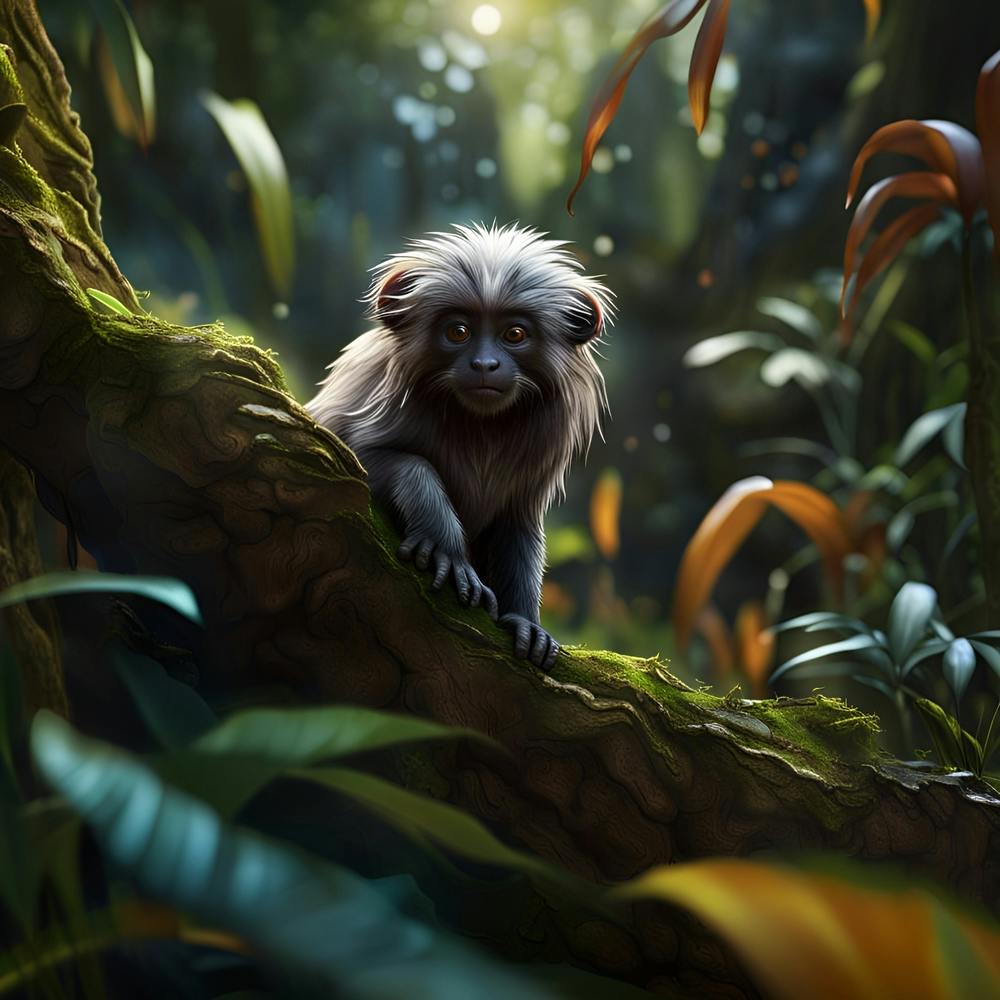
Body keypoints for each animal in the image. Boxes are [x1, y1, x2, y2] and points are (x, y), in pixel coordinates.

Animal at [306, 223, 612, 671]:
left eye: (515, 334)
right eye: (458, 331)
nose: (485, 365)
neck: (479, 428)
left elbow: (516, 527)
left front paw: (525, 620)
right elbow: (383, 461)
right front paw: (445, 547)